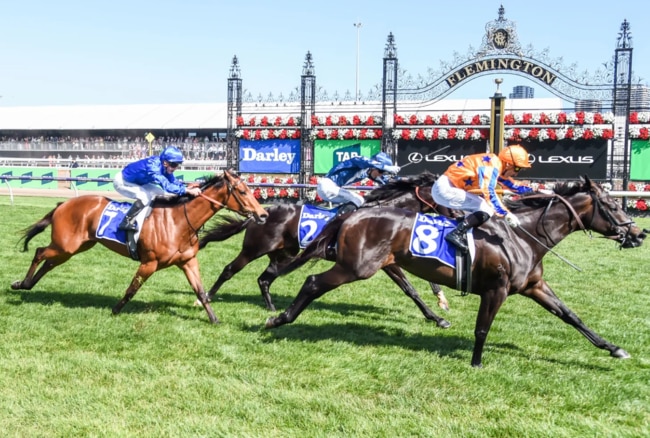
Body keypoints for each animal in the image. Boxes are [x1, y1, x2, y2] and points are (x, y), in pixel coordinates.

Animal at [10, 169, 268, 324]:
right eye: (242, 191)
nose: (263, 215)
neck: (178, 221)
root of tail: (63, 204)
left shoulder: (187, 261)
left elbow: (201, 292)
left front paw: (214, 319)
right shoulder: (149, 263)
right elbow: (132, 289)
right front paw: (114, 311)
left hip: (76, 247)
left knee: (49, 263)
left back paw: (27, 284)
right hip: (65, 245)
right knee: (39, 252)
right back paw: (20, 283)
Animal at [200, 170, 458, 318]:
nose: (459, 215)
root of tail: (261, 213)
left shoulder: (390, 259)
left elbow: (417, 285)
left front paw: (441, 305)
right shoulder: (385, 261)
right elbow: (410, 288)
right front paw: (437, 316)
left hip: (284, 255)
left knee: (264, 279)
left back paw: (272, 308)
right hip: (254, 249)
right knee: (229, 270)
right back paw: (206, 297)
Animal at [264, 176, 644, 368]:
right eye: (611, 206)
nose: (639, 233)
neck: (524, 236)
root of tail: (355, 213)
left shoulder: (535, 285)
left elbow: (571, 316)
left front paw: (613, 348)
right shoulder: (496, 289)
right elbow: (482, 328)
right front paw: (476, 362)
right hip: (356, 267)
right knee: (312, 282)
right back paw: (277, 319)